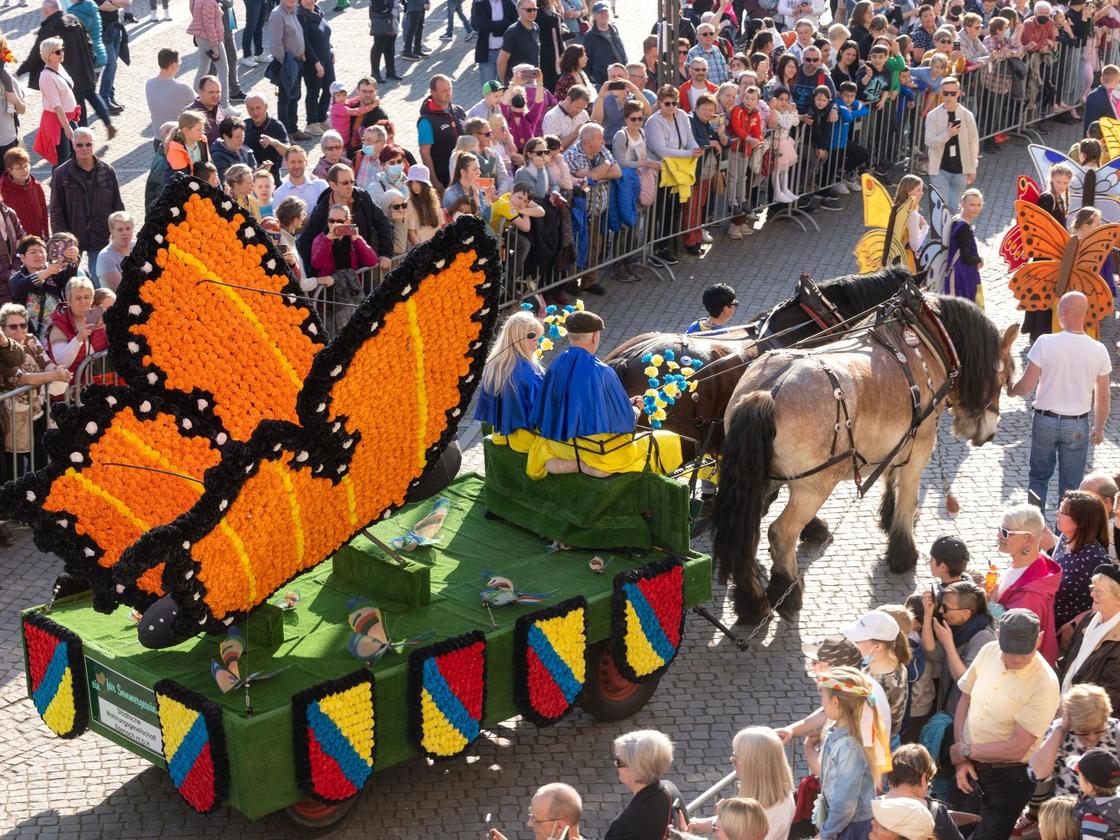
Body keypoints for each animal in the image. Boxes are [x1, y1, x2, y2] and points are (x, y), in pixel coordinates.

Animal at [712, 288, 1021, 627]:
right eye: (1002, 375)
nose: (989, 433)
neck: (926, 337)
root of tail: (766, 392)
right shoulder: (922, 444)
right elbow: (909, 494)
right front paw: (902, 551)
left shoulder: (898, 438)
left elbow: (890, 475)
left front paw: (887, 515)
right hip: (812, 487)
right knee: (780, 534)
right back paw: (787, 595)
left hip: (758, 481)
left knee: (746, 536)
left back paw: (752, 603)